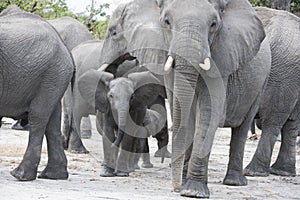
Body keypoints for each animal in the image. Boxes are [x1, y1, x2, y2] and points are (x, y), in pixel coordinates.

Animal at [0, 6, 74, 180]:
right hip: (53, 79)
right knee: (52, 122)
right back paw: (53, 175)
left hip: (51, 75)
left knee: (38, 117)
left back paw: (20, 175)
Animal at [157, 0, 272, 198]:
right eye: (167, 21)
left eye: (213, 25)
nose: (176, 187)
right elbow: (181, 109)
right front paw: (186, 185)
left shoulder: (221, 55)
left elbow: (209, 111)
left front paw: (193, 192)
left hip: (261, 83)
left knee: (242, 128)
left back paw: (234, 182)